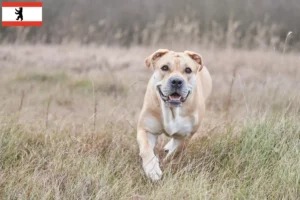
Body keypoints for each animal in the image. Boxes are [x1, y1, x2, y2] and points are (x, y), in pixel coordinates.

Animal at [137, 49, 212, 180]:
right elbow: (146, 148)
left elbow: (176, 152)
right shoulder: (146, 129)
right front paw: (152, 169)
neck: (172, 110)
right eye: (164, 67)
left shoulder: (186, 135)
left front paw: (167, 162)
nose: (176, 81)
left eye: (188, 70)